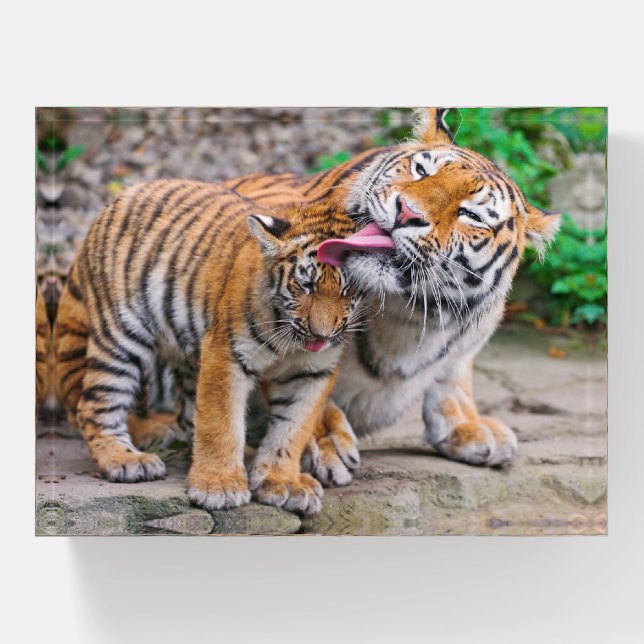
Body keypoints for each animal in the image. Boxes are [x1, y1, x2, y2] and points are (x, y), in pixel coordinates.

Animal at [53, 179, 365, 514]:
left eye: (348, 290)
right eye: (305, 285)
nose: (321, 335)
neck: (291, 340)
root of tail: (123, 194)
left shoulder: (313, 372)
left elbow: (293, 428)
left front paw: (282, 481)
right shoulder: (227, 352)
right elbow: (220, 422)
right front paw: (219, 486)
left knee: (188, 415)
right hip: (121, 337)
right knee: (94, 405)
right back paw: (125, 460)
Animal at [222, 108, 561, 475]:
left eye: (471, 214)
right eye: (421, 170)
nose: (407, 211)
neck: (407, 311)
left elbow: (454, 374)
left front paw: (468, 425)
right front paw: (325, 441)